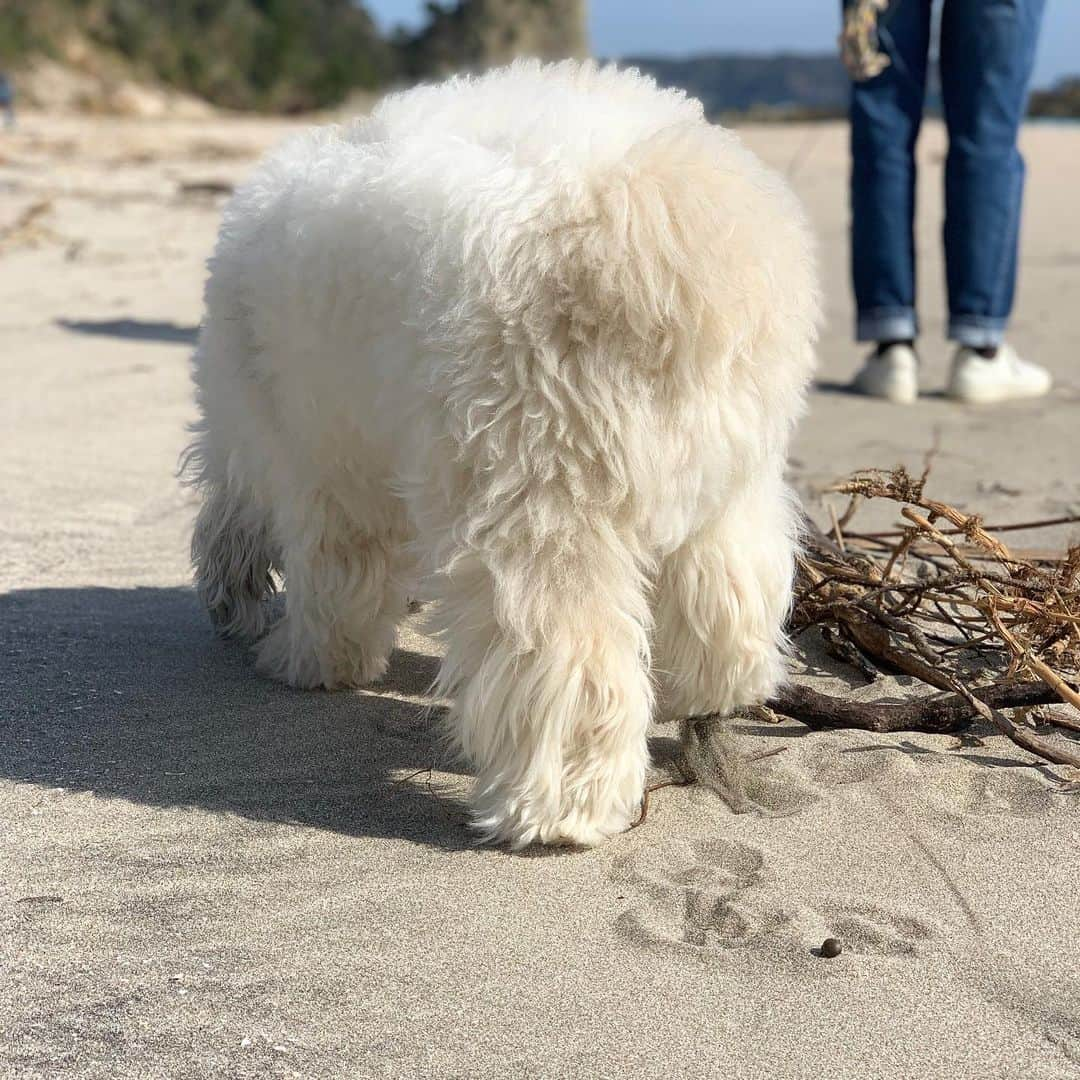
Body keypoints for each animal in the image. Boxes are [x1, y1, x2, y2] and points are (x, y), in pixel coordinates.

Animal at [185, 61, 816, 851]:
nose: (222, 611)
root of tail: (647, 226)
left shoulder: (321, 464)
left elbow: (338, 577)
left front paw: (311, 662)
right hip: (732, 474)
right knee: (733, 594)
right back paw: (702, 692)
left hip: (538, 491)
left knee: (567, 657)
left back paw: (556, 809)